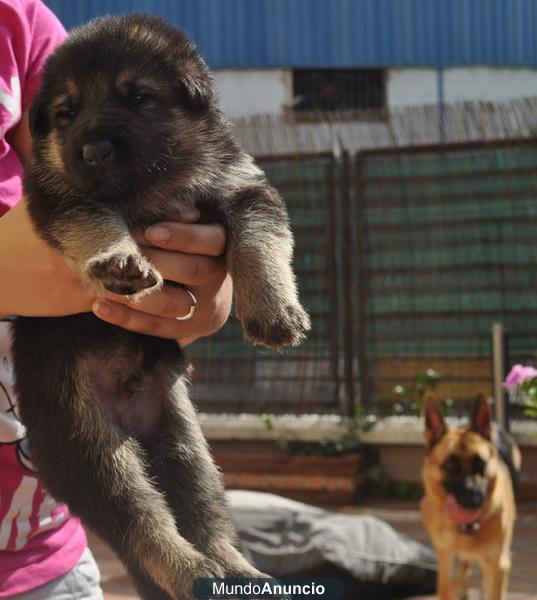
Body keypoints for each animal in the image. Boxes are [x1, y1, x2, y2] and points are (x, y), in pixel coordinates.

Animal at [10, 14, 308, 600]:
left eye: (139, 97)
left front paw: (275, 308)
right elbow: (97, 221)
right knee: (143, 524)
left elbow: (260, 242)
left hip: (182, 443)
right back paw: (188, 567)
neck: (148, 186)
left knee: (204, 517)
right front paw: (119, 258)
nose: (93, 151)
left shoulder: (244, 189)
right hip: (92, 450)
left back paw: (232, 569)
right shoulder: (64, 200)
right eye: (67, 112)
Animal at [422, 394, 520, 600]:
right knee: (465, 562)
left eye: (481, 464)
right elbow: (446, 587)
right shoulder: (444, 555)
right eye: (450, 467)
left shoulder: (498, 564)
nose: (474, 501)